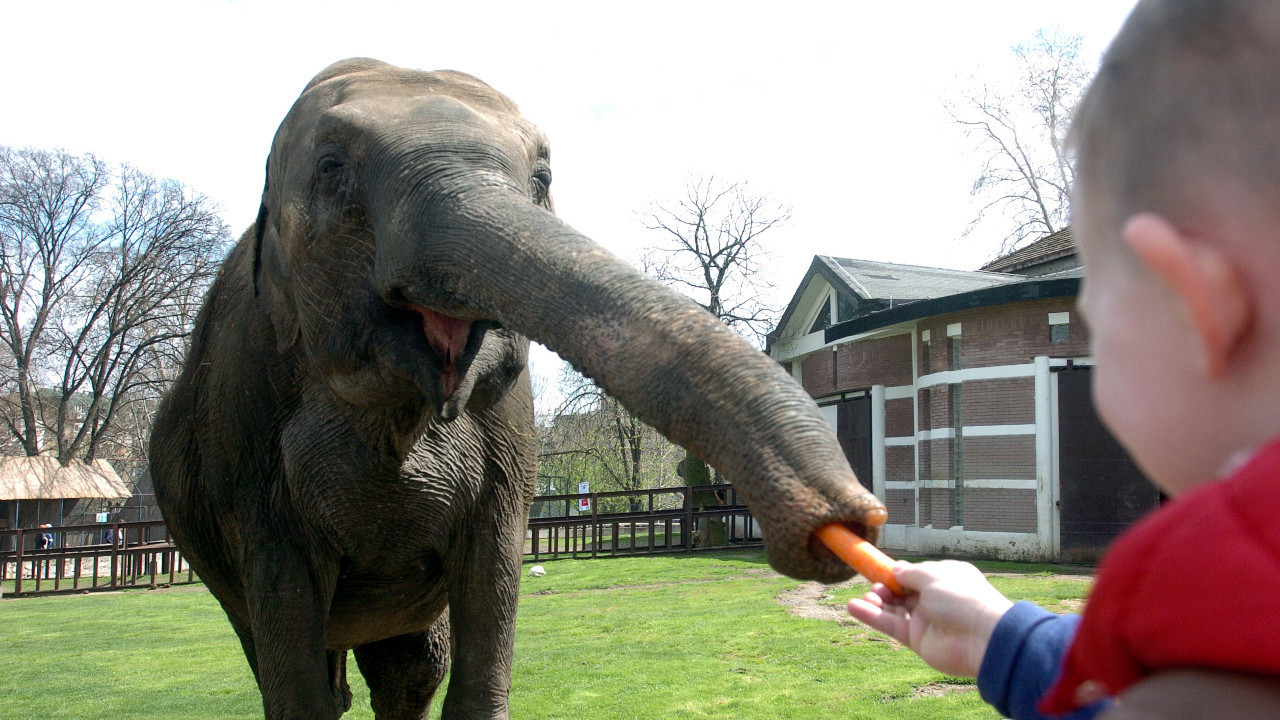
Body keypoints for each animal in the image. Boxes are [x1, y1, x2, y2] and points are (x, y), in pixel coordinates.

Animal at [149, 57, 885, 717]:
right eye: (331, 168)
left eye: (542, 177)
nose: (851, 519)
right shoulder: (245, 438)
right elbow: (287, 623)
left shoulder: (508, 429)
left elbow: (492, 580)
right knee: (304, 664)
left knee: (412, 669)